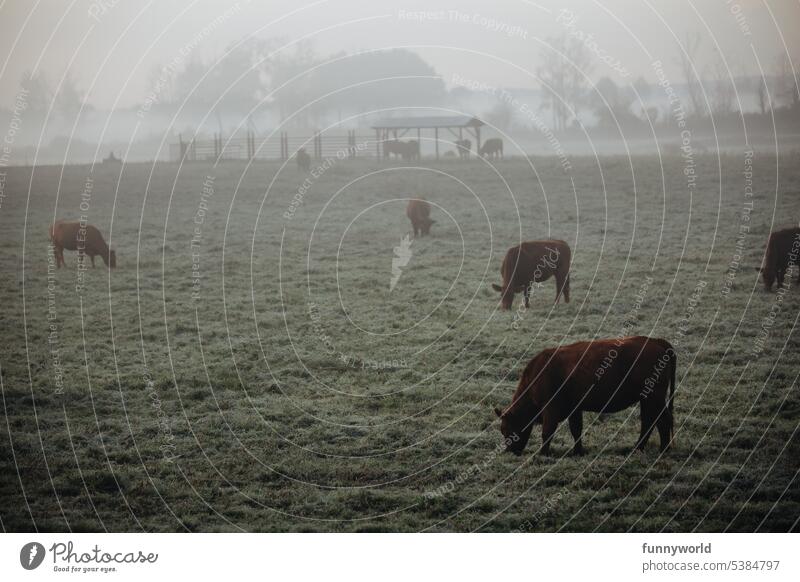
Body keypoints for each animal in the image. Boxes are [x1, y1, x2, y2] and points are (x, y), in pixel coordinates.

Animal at [494, 338, 676, 456]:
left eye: (506, 429)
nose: (511, 451)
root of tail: (656, 341)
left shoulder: (550, 409)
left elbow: (547, 432)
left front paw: (542, 454)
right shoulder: (574, 408)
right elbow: (576, 430)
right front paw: (578, 451)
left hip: (654, 398)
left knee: (662, 420)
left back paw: (663, 450)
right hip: (647, 399)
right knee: (649, 421)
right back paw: (639, 448)